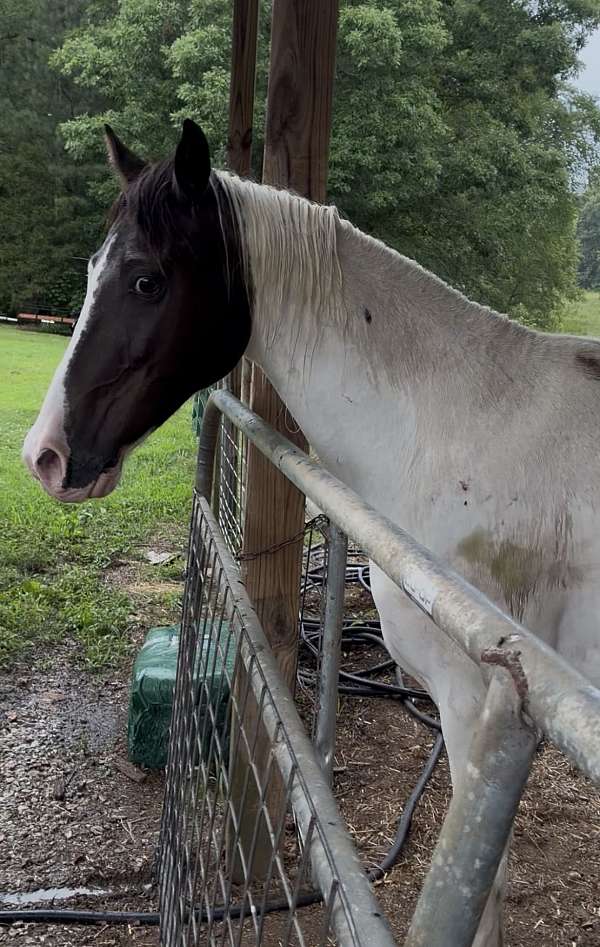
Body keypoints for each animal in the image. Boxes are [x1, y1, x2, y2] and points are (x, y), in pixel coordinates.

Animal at [23, 119, 600, 946]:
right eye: (95, 267)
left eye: (146, 281)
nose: (44, 455)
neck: (462, 429)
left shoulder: (480, 711)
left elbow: (484, 895)